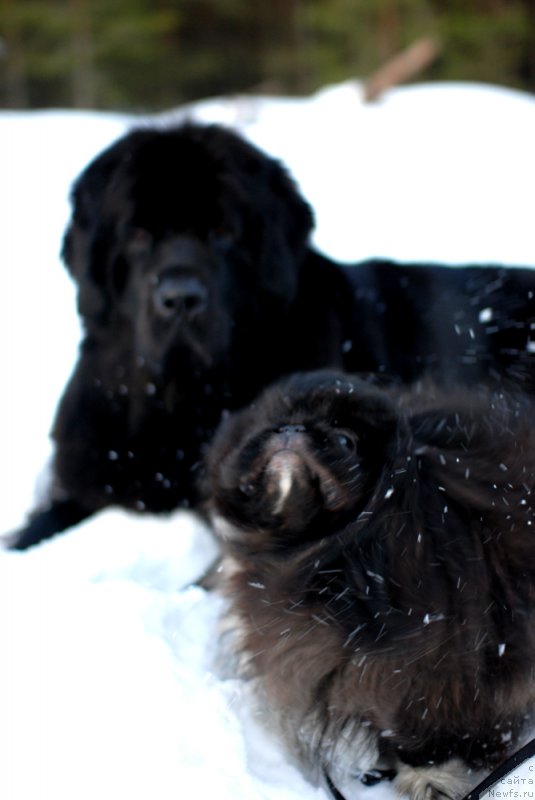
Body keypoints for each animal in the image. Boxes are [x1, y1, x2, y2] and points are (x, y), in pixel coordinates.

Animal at [202, 372, 535, 800]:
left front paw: (433, 781)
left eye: (346, 441)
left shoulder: (432, 669)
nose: (291, 429)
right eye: (270, 425)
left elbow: (429, 732)